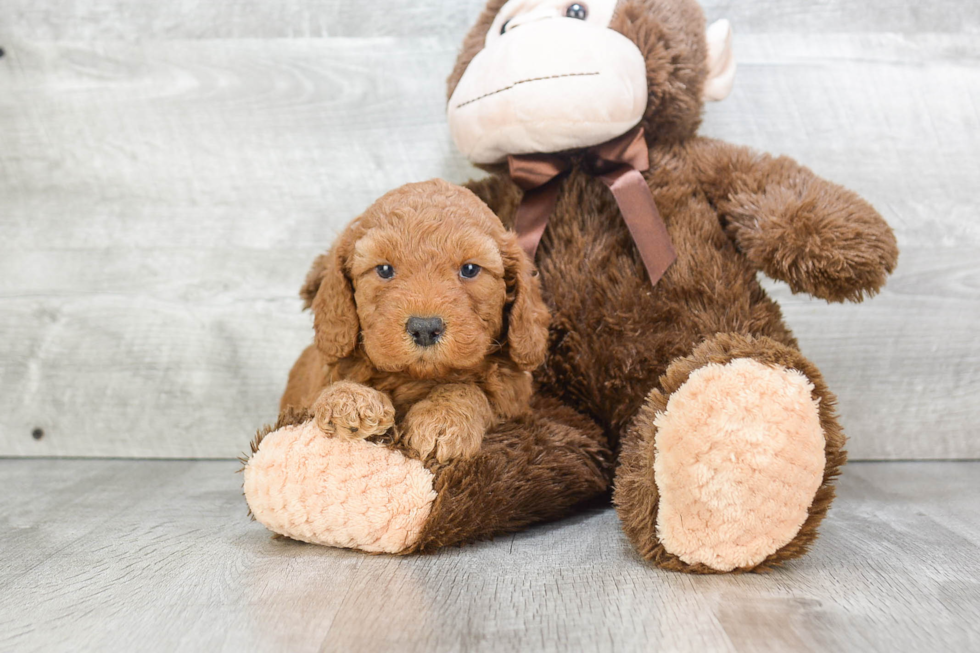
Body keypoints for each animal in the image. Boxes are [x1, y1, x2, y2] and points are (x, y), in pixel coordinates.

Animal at [280, 178, 552, 460]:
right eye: (384, 270)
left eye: (469, 269)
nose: (424, 328)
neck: (416, 377)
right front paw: (349, 400)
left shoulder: (513, 399)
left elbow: (469, 389)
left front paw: (443, 418)